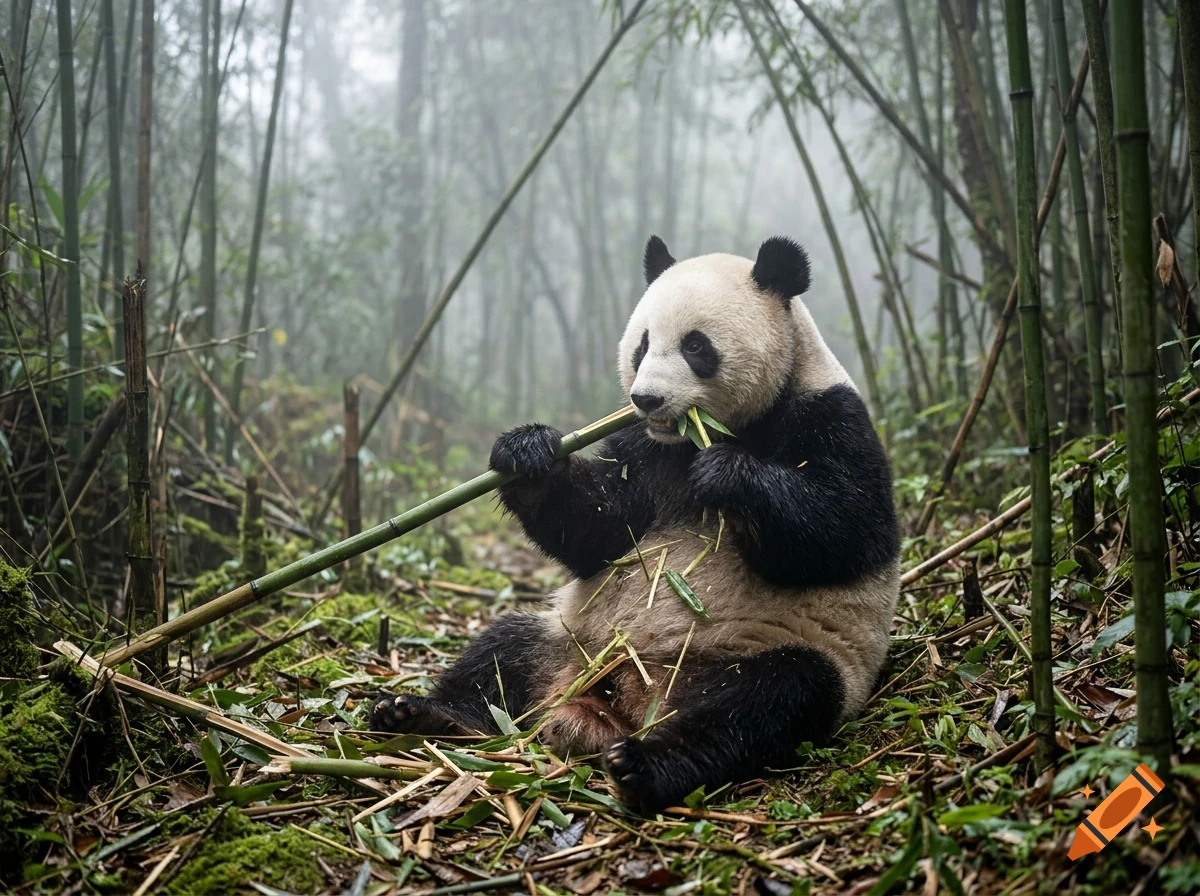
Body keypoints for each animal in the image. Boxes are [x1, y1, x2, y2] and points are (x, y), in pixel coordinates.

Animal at [371, 235, 900, 816]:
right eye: (643, 345)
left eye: (696, 347)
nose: (646, 399)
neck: (694, 437)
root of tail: (620, 701)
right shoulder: (643, 448)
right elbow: (599, 530)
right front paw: (529, 454)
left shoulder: (831, 416)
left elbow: (844, 531)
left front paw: (729, 476)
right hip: (569, 638)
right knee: (501, 651)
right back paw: (423, 714)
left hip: (776, 652)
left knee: (762, 703)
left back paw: (645, 766)